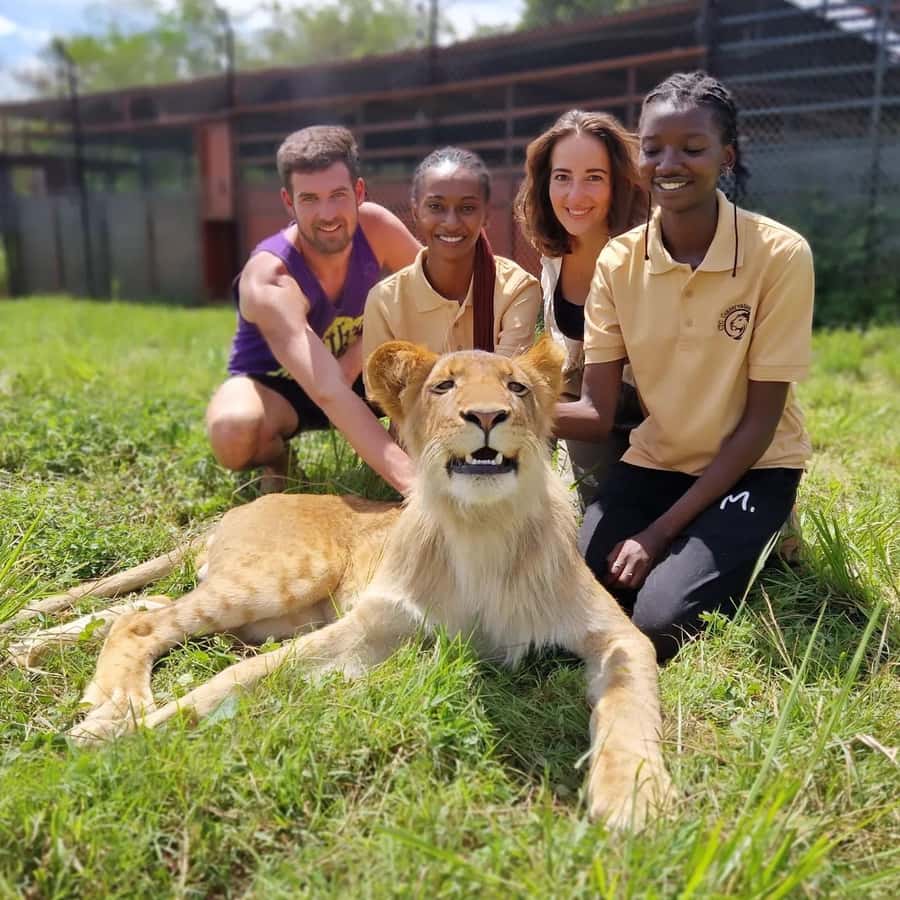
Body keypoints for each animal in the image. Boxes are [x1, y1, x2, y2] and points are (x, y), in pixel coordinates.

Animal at [6, 338, 671, 828]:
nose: (487, 417)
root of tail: (242, 507)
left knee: (144, 604)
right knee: (145, 620)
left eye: (517, 388)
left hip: (278, 607)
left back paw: (36, 652)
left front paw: (632, 800)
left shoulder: (617, 636)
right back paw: (113, 700)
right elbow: (236, 680)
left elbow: (629, 706)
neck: (480, 526)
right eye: (444, 386)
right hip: (287, 577)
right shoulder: (372, 625)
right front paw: (125, 734)